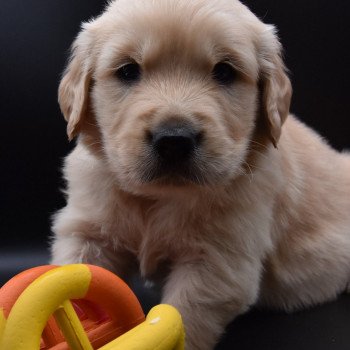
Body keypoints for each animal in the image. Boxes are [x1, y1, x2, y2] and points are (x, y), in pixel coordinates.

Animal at [50, 0, 350, 348]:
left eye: (225, 72)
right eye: (128, 70)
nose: (174, 140)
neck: (159, 198)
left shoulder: (218, 261)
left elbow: (184, 317)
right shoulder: (89, 231)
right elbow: (76, 282)